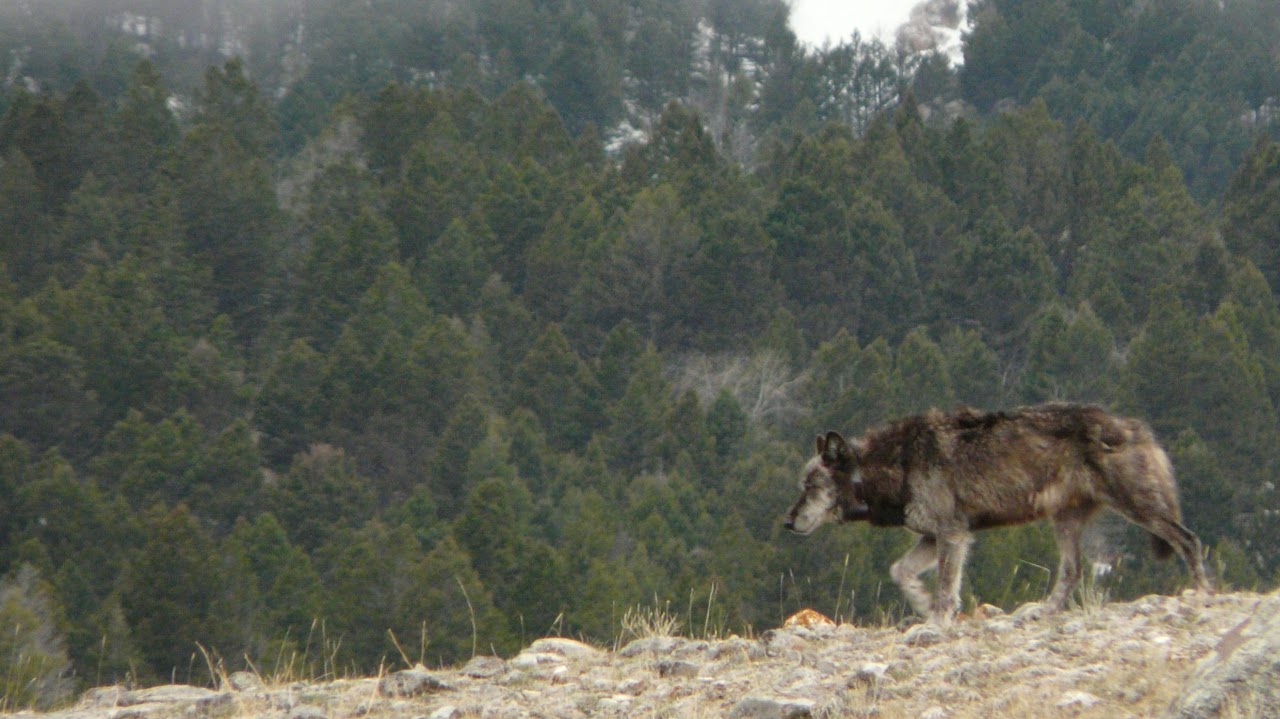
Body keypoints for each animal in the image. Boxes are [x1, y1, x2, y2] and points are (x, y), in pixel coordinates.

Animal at [784, 402, 1212, 623]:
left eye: (810, 487)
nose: (787, 522)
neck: (895, 463)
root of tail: (1136, 425)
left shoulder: (952, 536)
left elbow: (945, 589)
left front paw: (936, 622)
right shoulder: (934, 537)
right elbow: (900, 571)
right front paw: (922, 605)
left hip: (1137, 508)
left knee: (1189, 540)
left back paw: (1204, 595)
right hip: (1065, 522)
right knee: (1073, 571)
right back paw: (1043, 611)